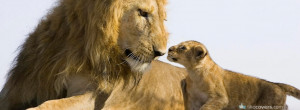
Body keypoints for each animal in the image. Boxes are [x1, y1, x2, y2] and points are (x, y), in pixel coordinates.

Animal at [0, 0, 188, 109]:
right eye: (142, 13)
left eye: (163, 19)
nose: (160, 53)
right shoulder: (16, 92)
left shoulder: (93, 96)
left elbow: (51, 105)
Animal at [168, 40, 298, 110]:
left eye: (182, 47)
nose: (169, 49)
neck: (193, 73)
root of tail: (277, 84)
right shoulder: (193, 100)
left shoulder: (220, 98)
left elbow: (206, 107)